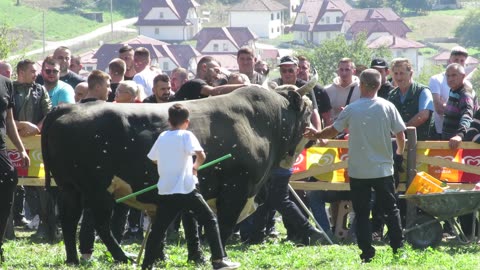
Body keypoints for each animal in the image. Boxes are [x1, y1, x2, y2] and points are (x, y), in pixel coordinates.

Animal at [40, 83, 316, 264]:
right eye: (307, 109)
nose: (314, 135)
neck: (261, 121)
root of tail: (68, 108)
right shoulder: (236, 189)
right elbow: (224, 225)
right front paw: (219, 255)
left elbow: (192, 222)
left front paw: (198, 255)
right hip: (96, 190)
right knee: (98, 224)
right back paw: (118, 256)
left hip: (70, 188)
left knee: (71, 220)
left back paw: (75, 259)